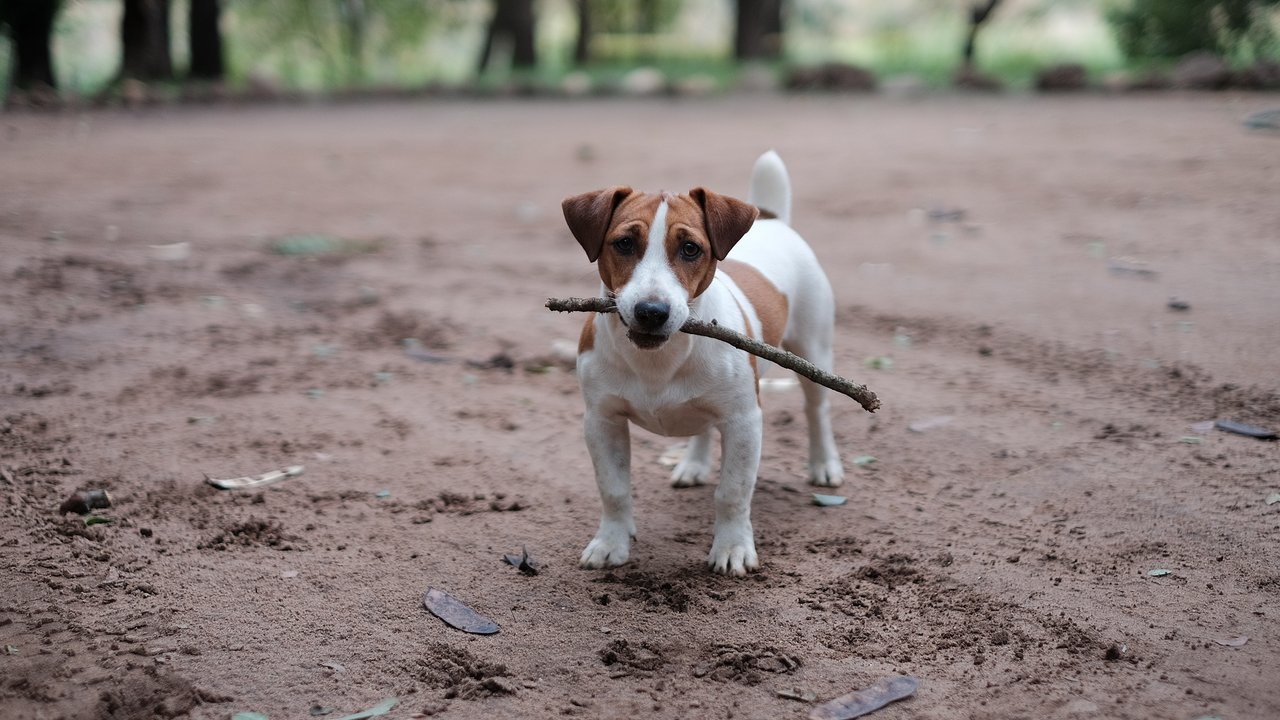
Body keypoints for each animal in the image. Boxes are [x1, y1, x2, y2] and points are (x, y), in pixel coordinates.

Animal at [558, 149, 839, 571]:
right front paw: (611, 543)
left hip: (813, 351)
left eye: (690, 248)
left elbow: (733, 493)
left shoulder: (743, 422)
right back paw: (693, 464)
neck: (659, 360)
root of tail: (771, 219)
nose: (651, 312)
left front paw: (732, 547)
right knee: (703, 426)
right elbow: (614, 489)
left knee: (817, 410)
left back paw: (824, 464)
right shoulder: (602, 421)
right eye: (624, 243)